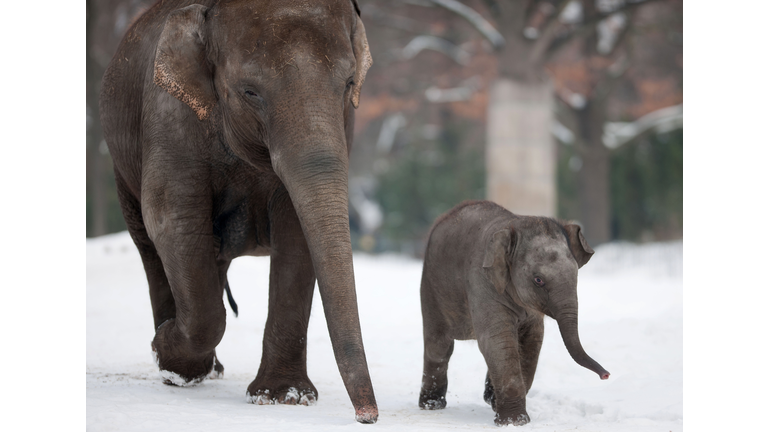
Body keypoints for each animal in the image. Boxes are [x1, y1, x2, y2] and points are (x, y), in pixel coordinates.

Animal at [100, 0, 376, 422]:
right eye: (250, 91)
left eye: (348, 84)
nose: (368, 416)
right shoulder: (169, 117)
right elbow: (173, 220)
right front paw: (167, 356)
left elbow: (297, 232)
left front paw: (284, 397)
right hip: (122, 166)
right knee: (151, 246)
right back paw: (176, 361)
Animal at [416, 201, 608, 426]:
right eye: (538, 280)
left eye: (576, 275)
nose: (606, 375)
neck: (515, 224)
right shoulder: (482, 281)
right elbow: (497, 340)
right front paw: (514, 422)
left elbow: (531, 342)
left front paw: (498, 407)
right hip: (431, 287)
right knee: (439, 346)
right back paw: (431, 405)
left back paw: (488, 398)